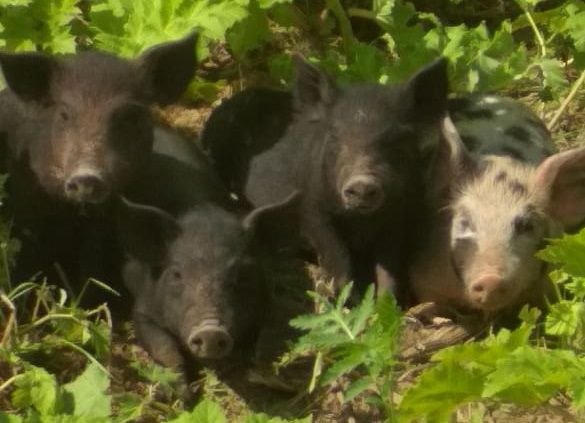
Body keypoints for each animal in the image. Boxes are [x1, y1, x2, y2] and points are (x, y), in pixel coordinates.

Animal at [201, 56, 450, 300]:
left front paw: (386, 304)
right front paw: (351, 303)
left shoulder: (401, 216)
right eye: (335, 136)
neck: (361, 222)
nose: (362, 183)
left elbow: (388, 266)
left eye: (397, 139)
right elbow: (338, 259)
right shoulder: (312, 210)